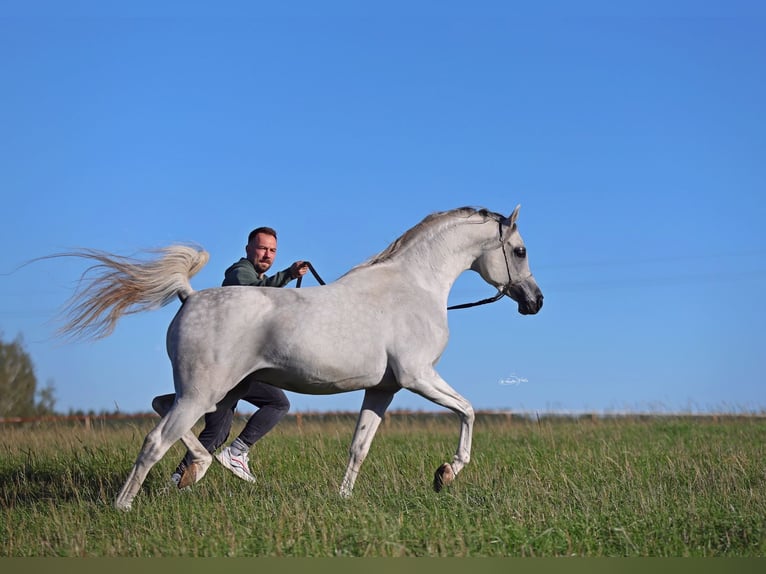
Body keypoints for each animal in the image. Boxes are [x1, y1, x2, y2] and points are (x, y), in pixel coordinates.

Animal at [57, 205, 543, 510]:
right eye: (520, 250)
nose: (535, 301)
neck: (415, 286)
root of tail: (189, 295)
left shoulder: (383, 389)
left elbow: (359, 446)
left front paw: (343, 498)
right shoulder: (418, 376)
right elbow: (468, 411)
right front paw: (445, 474)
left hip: (208, 392)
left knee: (165, 411)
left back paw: (198, 469)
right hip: (201, 393)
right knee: (155, 441)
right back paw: (126, 506)